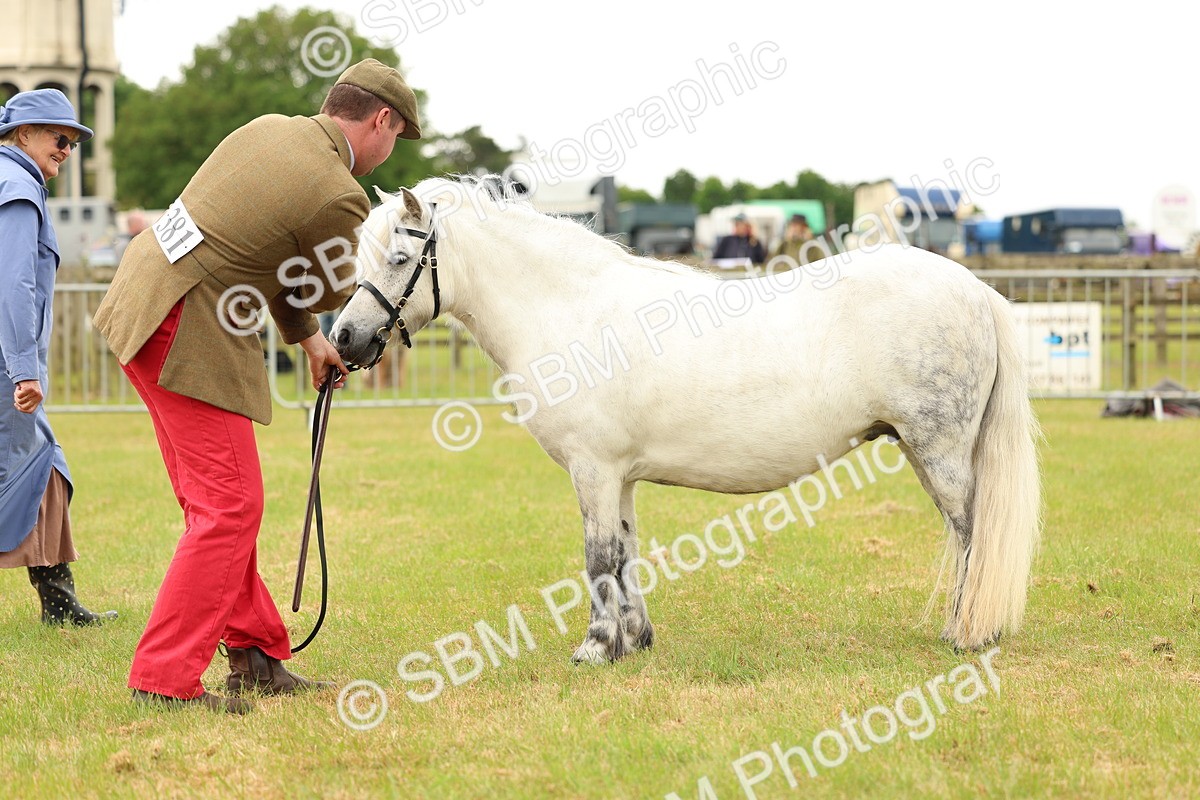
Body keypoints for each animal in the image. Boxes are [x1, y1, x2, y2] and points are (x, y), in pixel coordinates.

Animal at [329, 176, 1042, 663]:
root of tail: (975, 289)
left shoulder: (593, 469)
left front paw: (594, 648)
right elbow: (627, 552)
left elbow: (597, 556)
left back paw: (968, 632)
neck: (571, 310)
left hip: (940, 450)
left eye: (398, 259)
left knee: (972, 530)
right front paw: (634, 640)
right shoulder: (620, 476)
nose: (344, 339)